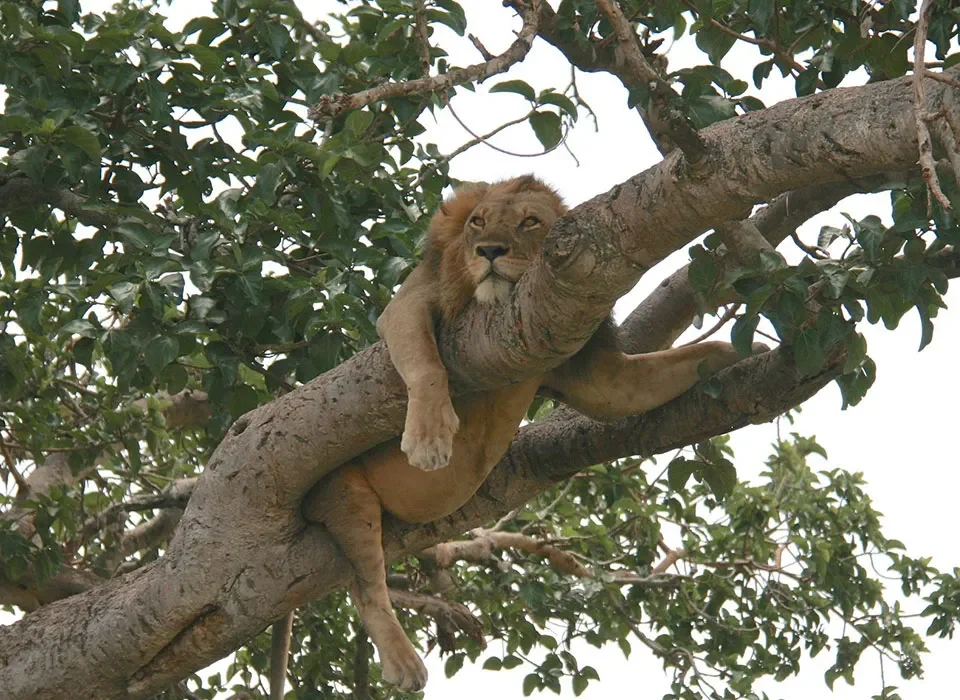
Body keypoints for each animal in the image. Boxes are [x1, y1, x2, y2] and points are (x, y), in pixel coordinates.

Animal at [272, 176, 762, 697]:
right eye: (477, 222)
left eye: (530, 222)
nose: (489, 250)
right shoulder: (410, 303)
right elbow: (425, 363)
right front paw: (429, 436)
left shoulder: (585, 365)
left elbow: (666, 369)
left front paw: (744, 349)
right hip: (345, 494)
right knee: (365, 589)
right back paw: (403, 661)